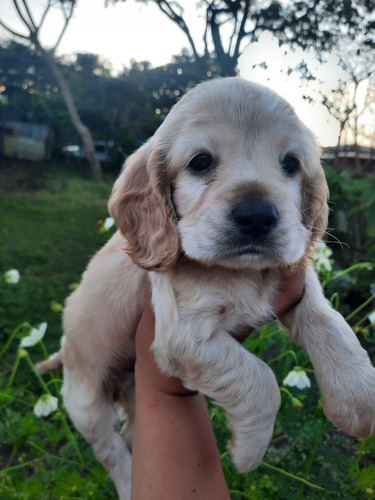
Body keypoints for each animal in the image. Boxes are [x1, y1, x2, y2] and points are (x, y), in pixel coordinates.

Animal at [37, 78, 375, 500]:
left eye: (291, 164)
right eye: (200, 162)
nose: (257, 216)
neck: (238, 272)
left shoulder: (294, 279)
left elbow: (331, 322)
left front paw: (357, 398)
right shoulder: (183, 337)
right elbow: (261, 379)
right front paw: (248, 451)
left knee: (131, 433)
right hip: (86, 402)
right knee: (111, 451)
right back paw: (129, 484)